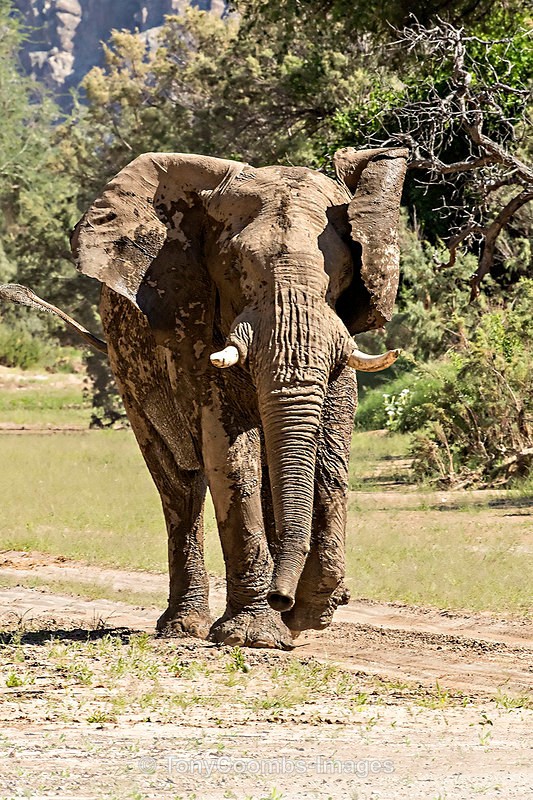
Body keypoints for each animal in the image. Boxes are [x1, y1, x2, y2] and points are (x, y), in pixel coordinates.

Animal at [0, 146, 408, 650]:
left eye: (343, 274)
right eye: (234, 267)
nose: (282, 600)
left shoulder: (340, 342)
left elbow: (331, 454)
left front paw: (311, 614)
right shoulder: (191, 324)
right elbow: (231, 454)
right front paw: (256, 635)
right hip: (125, 368)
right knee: (179, 486)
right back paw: (183, 627)